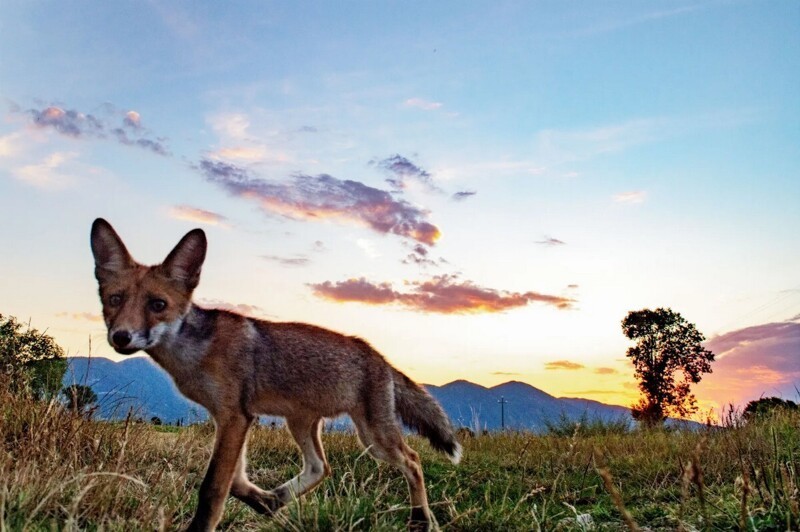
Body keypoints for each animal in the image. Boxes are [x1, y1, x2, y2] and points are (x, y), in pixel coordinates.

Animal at [90, 218, 460, 528]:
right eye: (115, 300)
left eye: (157, 305)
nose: (121, 337)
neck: (194, 353)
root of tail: (377, 354)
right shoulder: (234, 418)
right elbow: (236, 481)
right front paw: (265, 500)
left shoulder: (234, 417)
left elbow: (213, 490)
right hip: (301, 422)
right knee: (320, 467)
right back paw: (279, 498)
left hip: (374, 438)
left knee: (412, 461)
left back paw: (422, 519)